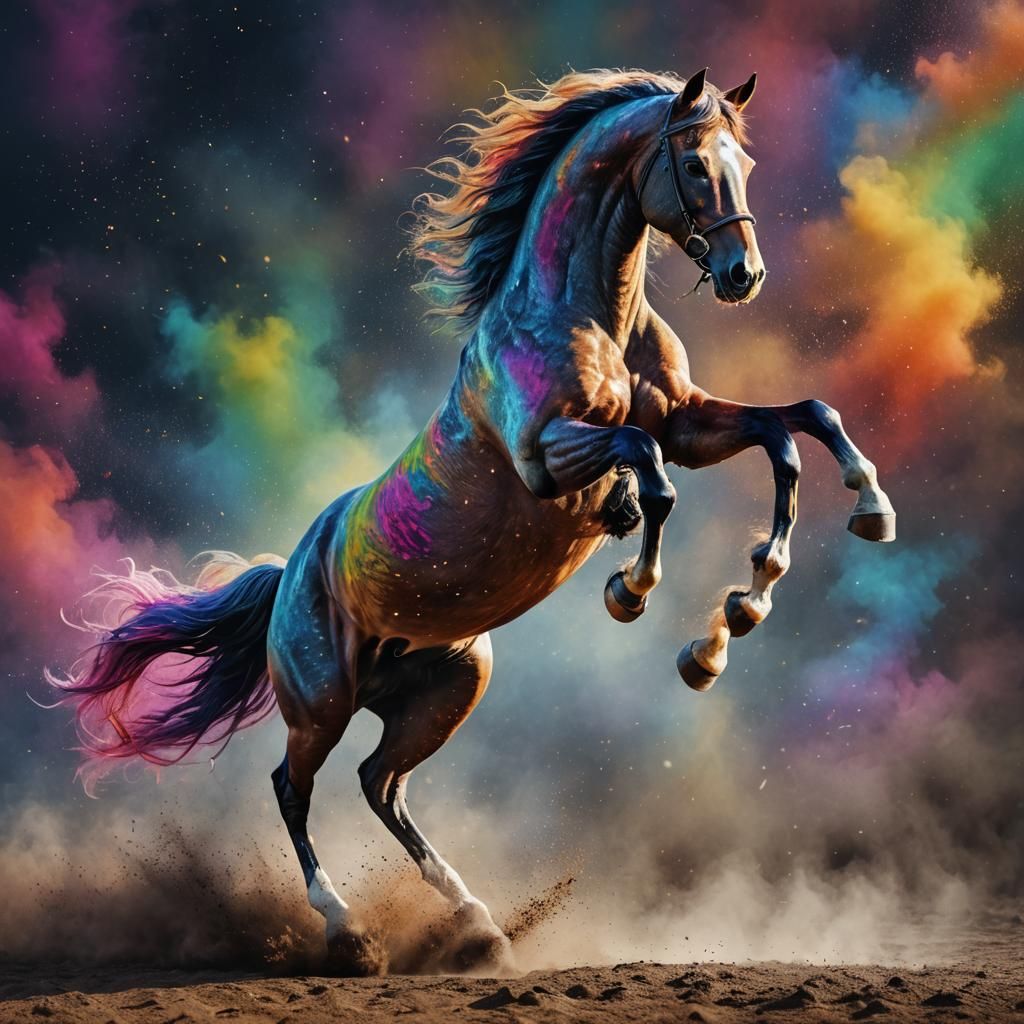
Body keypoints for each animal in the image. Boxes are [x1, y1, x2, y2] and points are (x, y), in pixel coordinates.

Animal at [51, 68, 895, 974]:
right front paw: (639, 595)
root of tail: (287, 577)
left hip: (446, 690)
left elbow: (794, 428)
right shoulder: (553, 454)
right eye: (697, 164)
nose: (745, 273)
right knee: (293, 790)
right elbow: (656, 474)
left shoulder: (690, 423)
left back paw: (479, 923)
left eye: (746, 163)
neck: (587, 315)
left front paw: (788, 572)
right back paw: (348, 930)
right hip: (320, 703)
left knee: (381, 785)